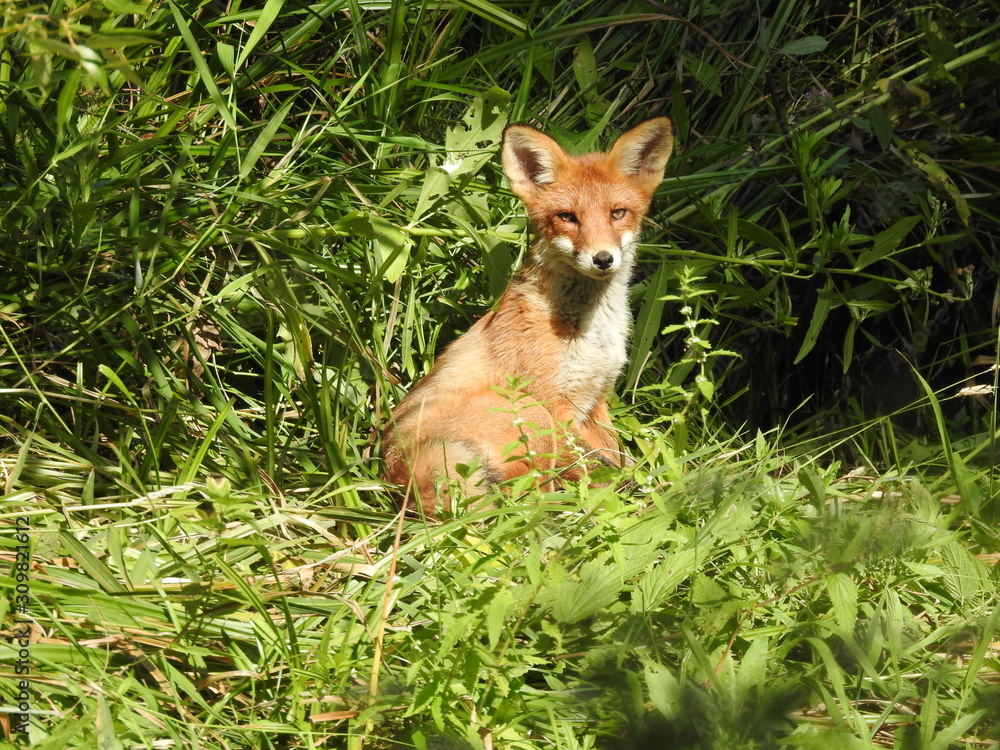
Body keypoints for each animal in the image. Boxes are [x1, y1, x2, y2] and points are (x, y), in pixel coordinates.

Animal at [381, 117, 674, 516]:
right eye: (567, 217)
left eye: (618, 213)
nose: (603, 259)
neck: (592, 330)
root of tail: (404, 481)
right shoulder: (554, 403)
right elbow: (600, 464)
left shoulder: (596, 399)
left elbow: (616, 454)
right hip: (533, 416)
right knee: (532, 498)